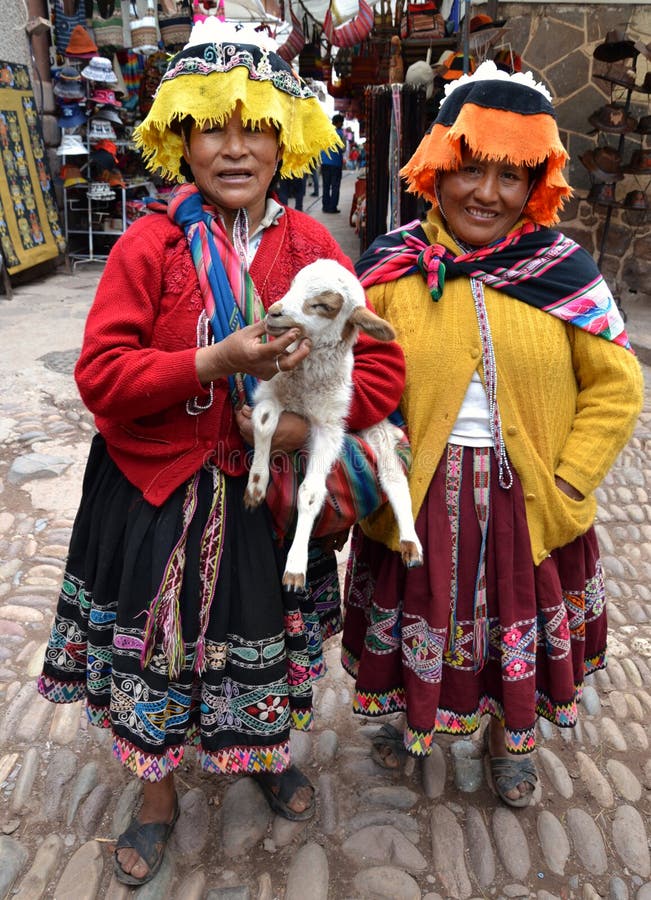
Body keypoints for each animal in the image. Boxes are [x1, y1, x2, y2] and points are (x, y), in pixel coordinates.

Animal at [244, 258, 422, 592]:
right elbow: (263, 424)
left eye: (322, 305)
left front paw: (295, 567)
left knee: (393, 478)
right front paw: (256, 486)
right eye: (292, 284)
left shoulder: (329, 426)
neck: (305, 385)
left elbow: (310, 493)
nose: (274, 312)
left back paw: (410, 544)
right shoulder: (272, 392)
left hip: (377, 429)